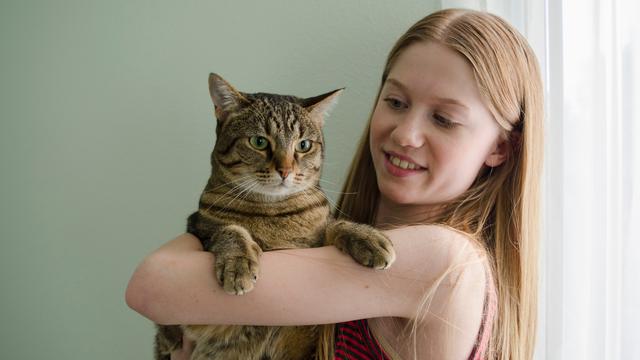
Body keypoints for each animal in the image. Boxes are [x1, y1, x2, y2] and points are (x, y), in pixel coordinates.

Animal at [155, 74, 396, 360]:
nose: (285, 170)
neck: (273, 213)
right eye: (259, 142)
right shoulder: (198, 225)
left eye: (304, 145)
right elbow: (229, 229)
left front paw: (367, 237)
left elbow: (334, 224)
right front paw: (238, 263)